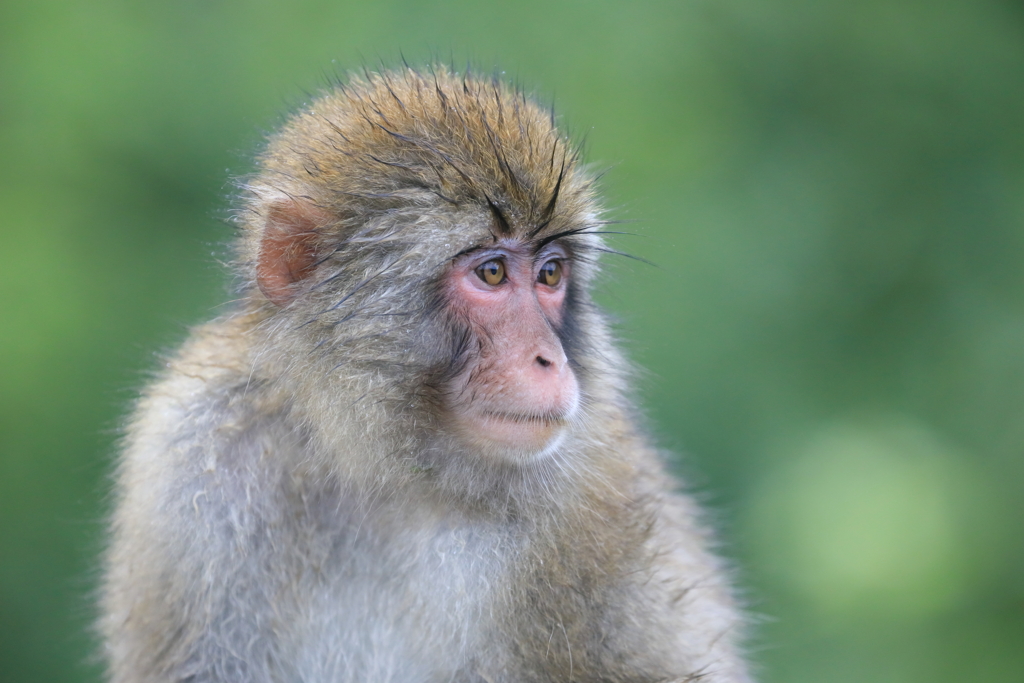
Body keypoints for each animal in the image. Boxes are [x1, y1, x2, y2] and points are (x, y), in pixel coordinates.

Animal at [97, 65, 753, 683]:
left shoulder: (601, 506)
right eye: (491, 272)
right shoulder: (194, 451)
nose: (549, 359)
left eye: (549, 274)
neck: (383, 469)